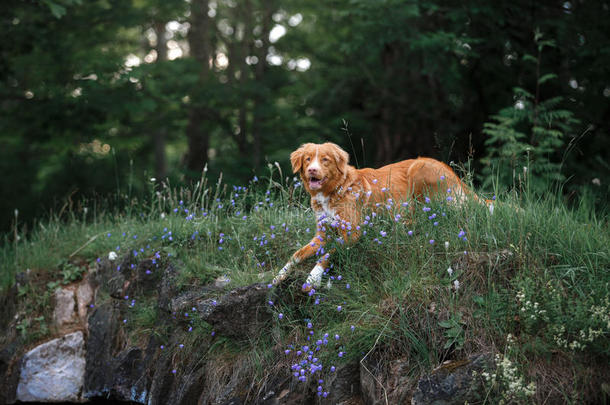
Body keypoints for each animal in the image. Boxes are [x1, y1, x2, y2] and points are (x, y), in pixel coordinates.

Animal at [272, 142, 490, 290]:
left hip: (419, 171)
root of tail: (455, 175)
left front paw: (313, 278)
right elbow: (297, 254)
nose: (312, 170)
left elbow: (328, 253)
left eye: (325, 159)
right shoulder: (322, 234)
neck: (333, 192)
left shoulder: (353, 233)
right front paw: (278, 276)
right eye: (308, 159)